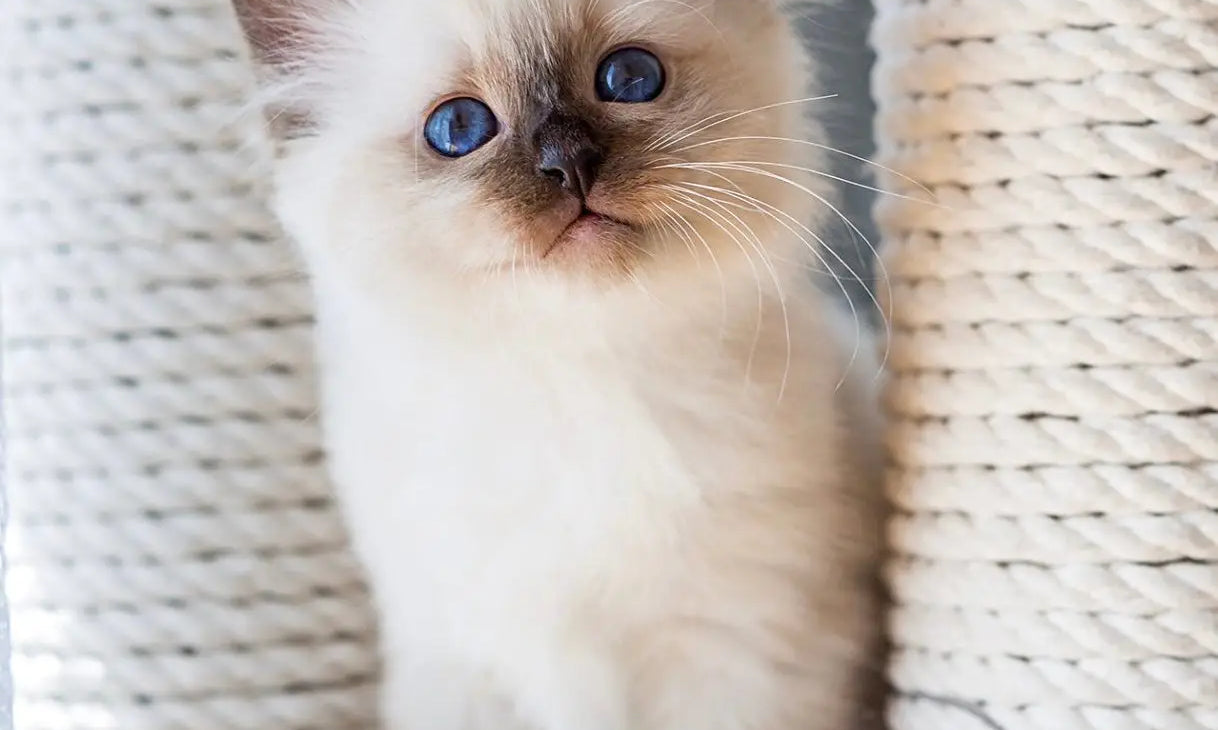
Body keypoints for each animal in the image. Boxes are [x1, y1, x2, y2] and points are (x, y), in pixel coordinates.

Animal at [232, 1, 881, 730]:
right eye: (459, 128)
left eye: (629, 78)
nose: (567, 163)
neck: (573, 387)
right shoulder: (468, 661)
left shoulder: (737, 652)